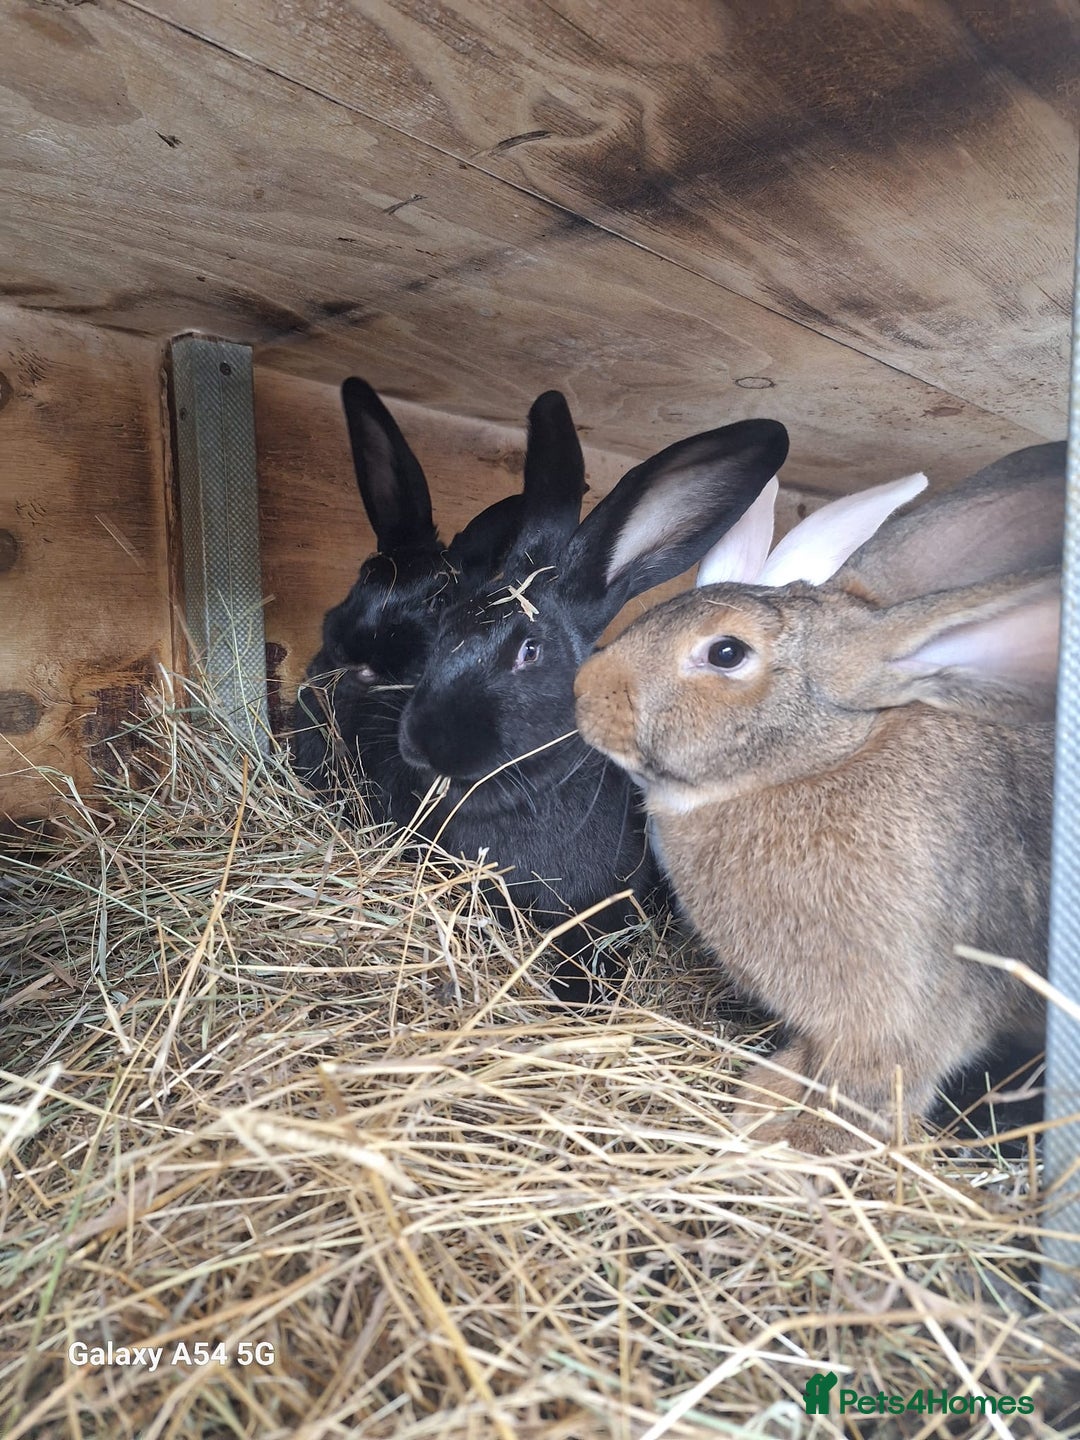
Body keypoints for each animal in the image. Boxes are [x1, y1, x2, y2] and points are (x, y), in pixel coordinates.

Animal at [574, 441, 1065, 1149]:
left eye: (726, 652)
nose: (583, 687)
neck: (811, 766)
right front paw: (765, 1103)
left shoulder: (902, 1017)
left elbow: (866, 1089)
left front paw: (785, 1137)